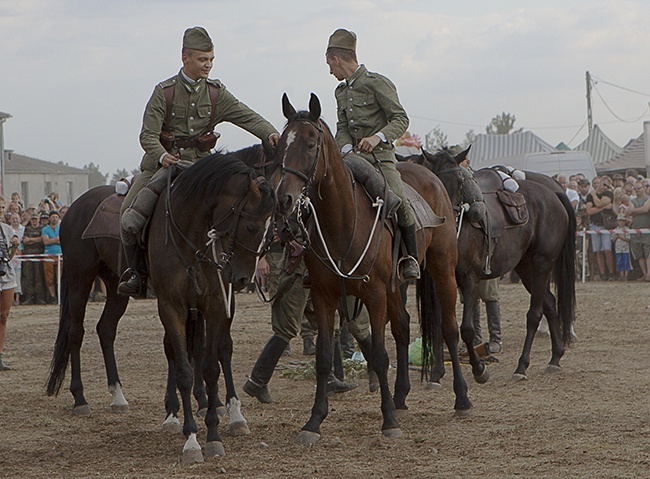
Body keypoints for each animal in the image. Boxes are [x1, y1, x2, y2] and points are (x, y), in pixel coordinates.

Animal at [46, 146, 276, 464]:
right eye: (251, 225)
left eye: (267, 228)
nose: (243, 277)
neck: (192, 234)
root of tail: (74, 208)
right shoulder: (171, 306)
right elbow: (184, 368)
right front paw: (190, 437)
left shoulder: (214, 303)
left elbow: (211, 361)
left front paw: (216, 427)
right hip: (80, 279)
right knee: (75, 333)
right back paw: (80, 398)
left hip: (115, 287)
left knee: (105, 329)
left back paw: (118, 395)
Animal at [270, 94, 468, 446]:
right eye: (281, 144)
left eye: (310, 144)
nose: (284, 199)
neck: (343, 220)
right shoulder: (324, 296)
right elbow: (324, 357)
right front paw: (313, 421)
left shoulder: (374, 294)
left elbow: (378, 354)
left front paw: (388, 420)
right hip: (396, 287)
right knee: (403, 326)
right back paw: (401, 396)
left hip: (442, 271)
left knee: (448, 328)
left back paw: (461, 399)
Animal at [418, 149, 576, 382]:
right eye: (435, 181)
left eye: (460, 182)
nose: (448, 218)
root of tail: (554, 193)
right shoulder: (441, 281)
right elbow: (440, 325)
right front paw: (437, 374)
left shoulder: (470, 278)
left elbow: (467, 329)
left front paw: (479, 369)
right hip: (525, 268)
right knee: (549, 303)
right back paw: (555, 358)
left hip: (542, 263)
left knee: (535, 313)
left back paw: (521, 367)